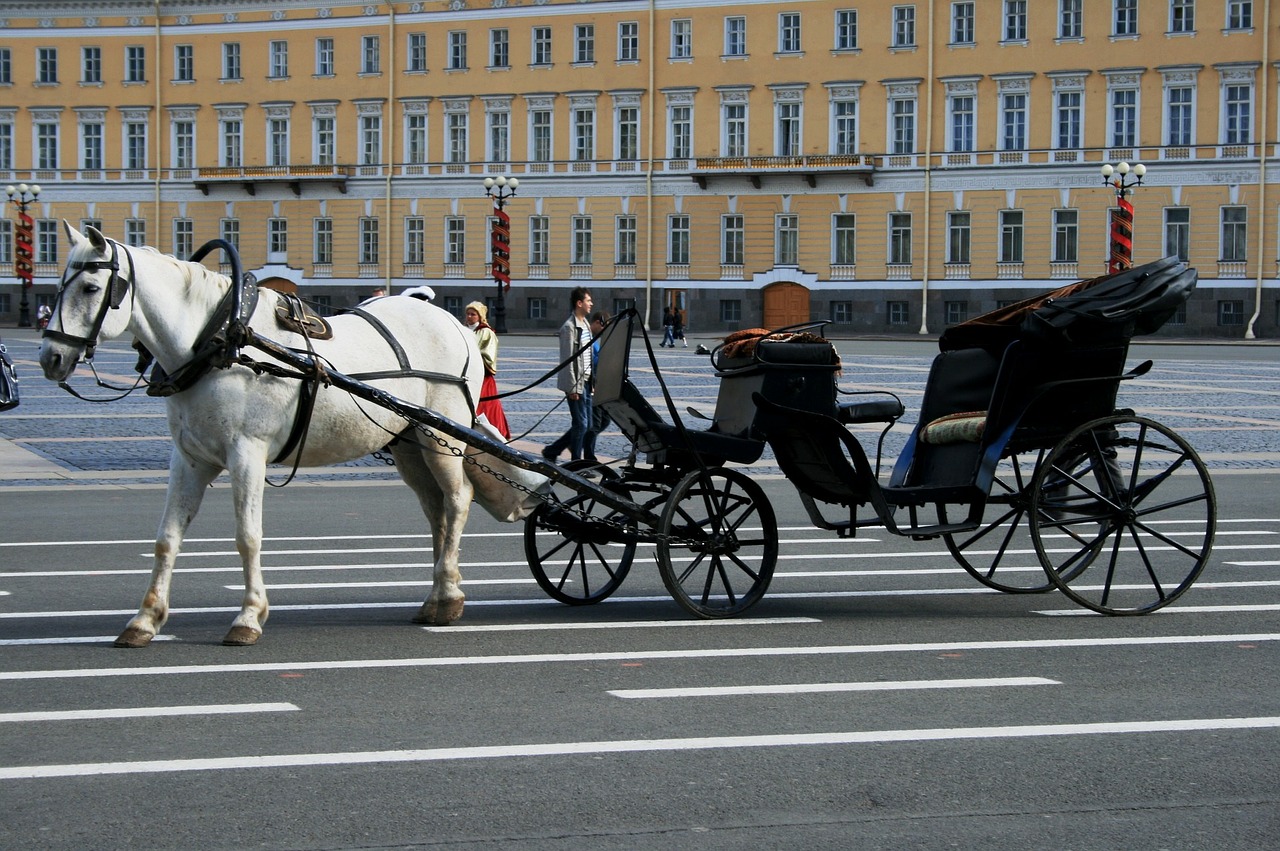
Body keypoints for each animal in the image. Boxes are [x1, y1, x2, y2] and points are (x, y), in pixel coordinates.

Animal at [40, 222, 540, 647]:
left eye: (90, 287)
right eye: (58, 284)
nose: (50, 358)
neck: (221, 342)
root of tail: (454, 323)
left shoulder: (246, 454)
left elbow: (248, 536)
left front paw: (248, 617)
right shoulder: (189, 458)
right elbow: (167, 537)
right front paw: (145, 619)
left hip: (440, 440)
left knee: (457, 501)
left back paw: (450, 597)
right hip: (409, 445)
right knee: (436, 510)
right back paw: (435, 596)